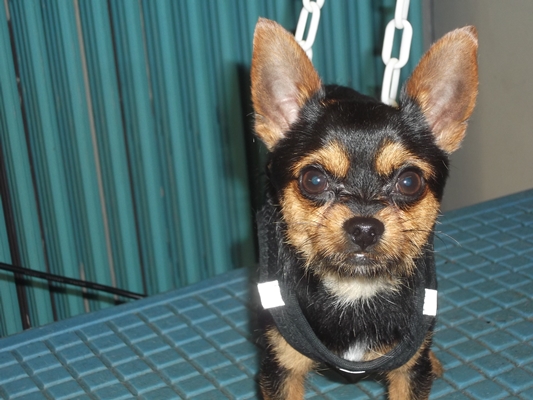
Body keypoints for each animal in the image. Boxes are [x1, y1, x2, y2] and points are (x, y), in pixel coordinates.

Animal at [251, 18, 478, 400]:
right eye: (314, 180)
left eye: (409, 182)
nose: (364, 227)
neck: (355, 289)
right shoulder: (280, 370)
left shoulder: (408, 370)